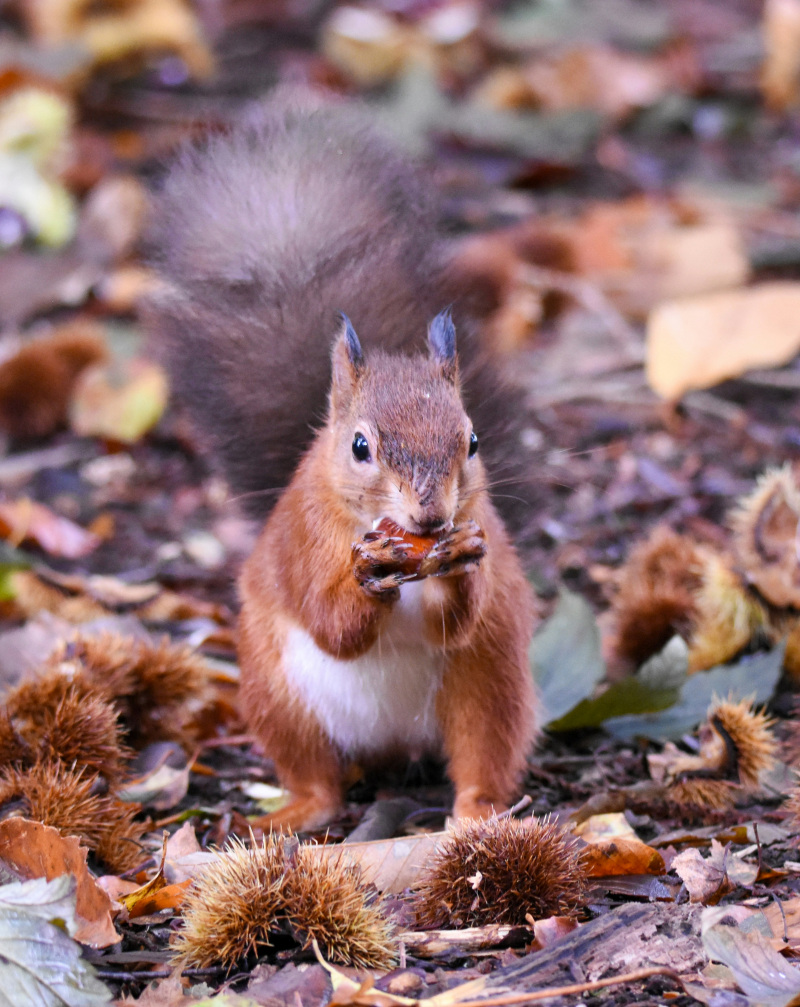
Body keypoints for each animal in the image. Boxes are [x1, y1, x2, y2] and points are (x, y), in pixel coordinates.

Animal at [148, 90, 536, 829]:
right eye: (360, 447)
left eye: (471, 441)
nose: (432, 518)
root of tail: (390, 744)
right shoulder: (305, 540)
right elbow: (334, 625)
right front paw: (368, 577)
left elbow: (454, 620)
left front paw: (464, 561)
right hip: (276, 694)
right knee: (318, 780)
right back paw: (293, 813)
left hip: (489, 681)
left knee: (482, 755)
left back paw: (478, 812)